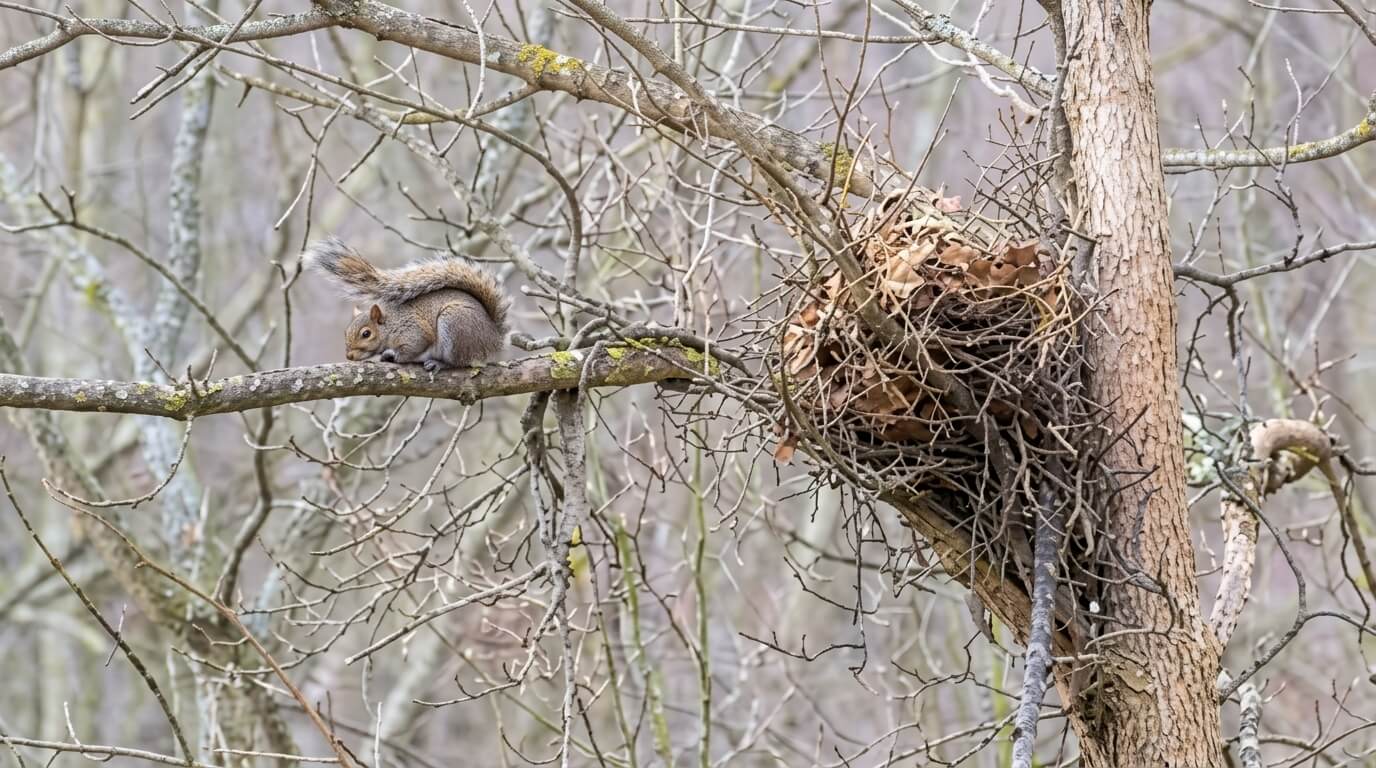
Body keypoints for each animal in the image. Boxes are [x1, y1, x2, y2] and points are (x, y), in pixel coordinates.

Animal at [303, 238, 510, 371]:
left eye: (366, 334)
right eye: (345, 332)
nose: (349, 356)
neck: (391, 324)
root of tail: (495, 340)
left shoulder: (413, 332)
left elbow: (413, 348)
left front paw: (394, 356)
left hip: (455, 326)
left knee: (460, 361)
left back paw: (440, 363)